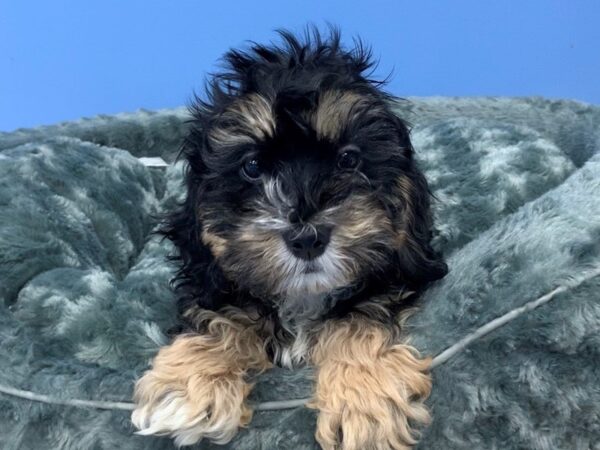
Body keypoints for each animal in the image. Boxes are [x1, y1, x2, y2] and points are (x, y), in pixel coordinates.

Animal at [134, 29, 448, 450]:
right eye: (252, 167)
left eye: (348, 160)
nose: (307, 238)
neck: (301, 299)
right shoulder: (215, 280)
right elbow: (223, 316)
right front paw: (189, 385)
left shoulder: (389, 275)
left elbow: (357, 317)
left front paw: (364, 400)